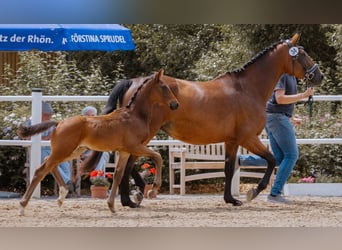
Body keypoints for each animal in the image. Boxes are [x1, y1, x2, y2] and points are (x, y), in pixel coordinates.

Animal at [17, 69, 180, 214]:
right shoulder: (135, 146)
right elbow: (158, 157)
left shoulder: (124, 151)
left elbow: (118, 175)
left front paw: (111, 206)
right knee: (41, 169)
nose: (175, 104)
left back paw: (62, 195)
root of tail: (59, 123)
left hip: (72, 151)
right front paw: (152, 190)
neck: (134, 115)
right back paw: (23, 206)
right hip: (64, 150)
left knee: (48, 163)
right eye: (164, 87)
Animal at [83, 32, 324, 210]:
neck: (247, 89)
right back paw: (136, 196)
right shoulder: (248, 138)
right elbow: (272, 160)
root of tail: (133, 81)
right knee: (128, 164)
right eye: (302, 54)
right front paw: (253, 192)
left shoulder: (232, 141)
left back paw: (130, 199)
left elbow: (229, 169)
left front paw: (231, 199)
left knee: (126, 163)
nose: (319, 76)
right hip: (144, 135)